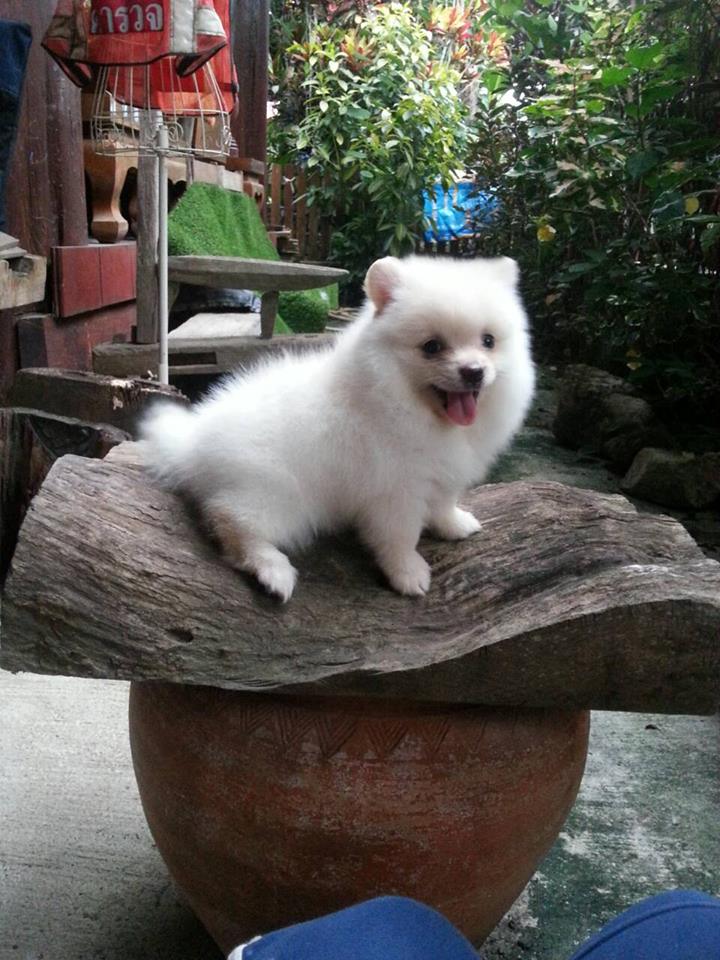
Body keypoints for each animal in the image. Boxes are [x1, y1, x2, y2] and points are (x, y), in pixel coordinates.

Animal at [141, 255, 535, 601]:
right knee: (230, 520)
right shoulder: (396, 491)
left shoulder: (442, 474)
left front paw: (455, 524)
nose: (474, 371)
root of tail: (192, 445)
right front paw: (408, 574)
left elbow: (442, 504)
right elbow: (400, 537)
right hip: (278, 497)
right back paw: (273, 570)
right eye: (432, 347)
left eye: (488, 341)